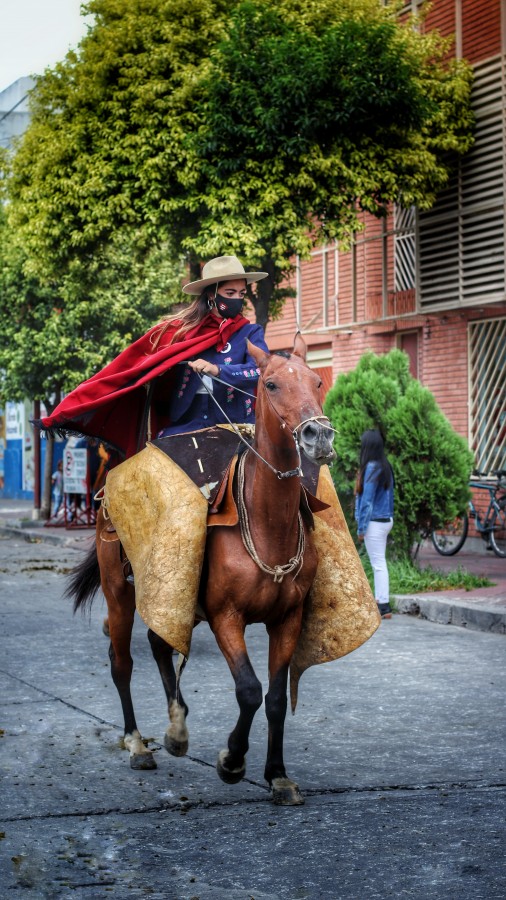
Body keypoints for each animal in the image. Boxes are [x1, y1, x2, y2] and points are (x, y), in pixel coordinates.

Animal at [67, 334, 336, 804]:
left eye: (317, 381)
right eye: (270, 384)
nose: (317, 434)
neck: (267, 524)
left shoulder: (288, 618)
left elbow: (275, 699)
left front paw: (278, 775)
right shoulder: (226, 616)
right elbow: (248, 690)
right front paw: (232, 761)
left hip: (170, 595)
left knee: (159, 643)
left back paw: (177, 729)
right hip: (119, 590)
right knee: (122, 662)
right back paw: (137, 743)